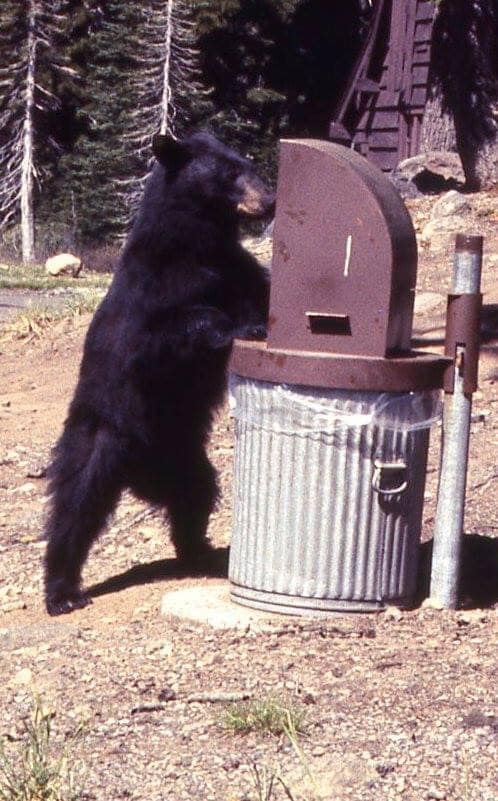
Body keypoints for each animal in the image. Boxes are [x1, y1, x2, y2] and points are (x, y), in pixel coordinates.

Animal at [44, 131, 274, 616]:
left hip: (183, 459)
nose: (270, 200)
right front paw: (240, 326)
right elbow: (174, 329)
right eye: (230, 172)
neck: (195, 241)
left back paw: (199, 551)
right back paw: (62, 590)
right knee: (74, 507)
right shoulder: (152, 297)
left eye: (247, 163)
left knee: (195, 495)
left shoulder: (233, 264)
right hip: (98, 442)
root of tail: (139, 474)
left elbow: (261, 290)